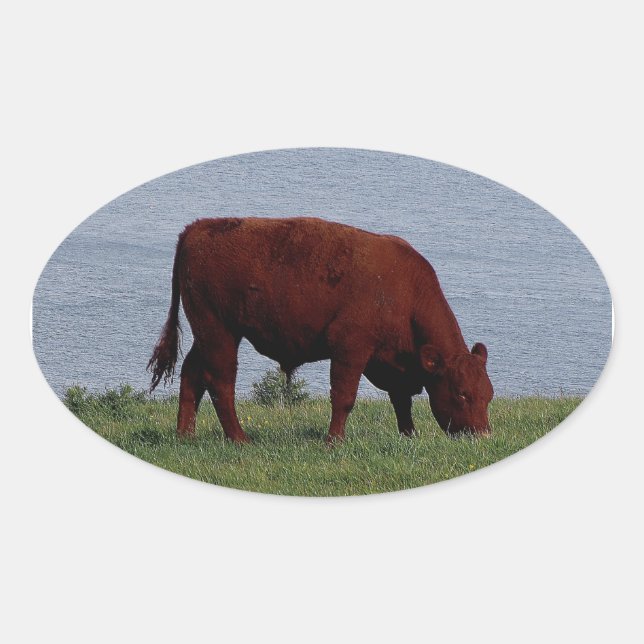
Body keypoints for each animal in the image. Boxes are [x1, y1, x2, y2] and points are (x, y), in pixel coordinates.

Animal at [148, 217, 493, 443]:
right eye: (462, 393)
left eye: (488, 394)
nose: (483, 435)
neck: (404, 289)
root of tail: (197, 228)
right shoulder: (350, 348)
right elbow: (344, 397)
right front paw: (334, 441)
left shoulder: (393, 362)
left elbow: (401, 401)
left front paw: (409, 436)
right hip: (220, 332)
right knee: (220, 382)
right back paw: (240, 439)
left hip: (206, 333)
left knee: (192, 374)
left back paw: (185, 435)